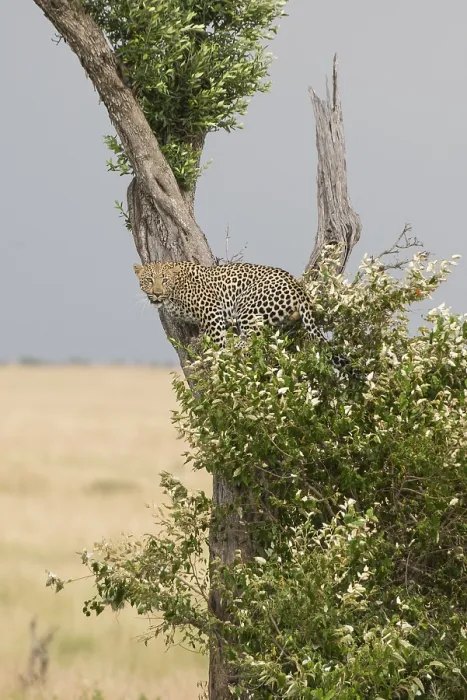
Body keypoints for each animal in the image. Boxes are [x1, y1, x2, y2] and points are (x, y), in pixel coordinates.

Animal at [134, 261, 350, 368]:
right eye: (149, 280)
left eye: (165, 279)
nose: (157, 293)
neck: (174, 290)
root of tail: (298, 288)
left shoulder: (211, 310)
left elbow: (217, 338)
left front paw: (217, 354)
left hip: (247, 305)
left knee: (254, 340)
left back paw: (233, 346)